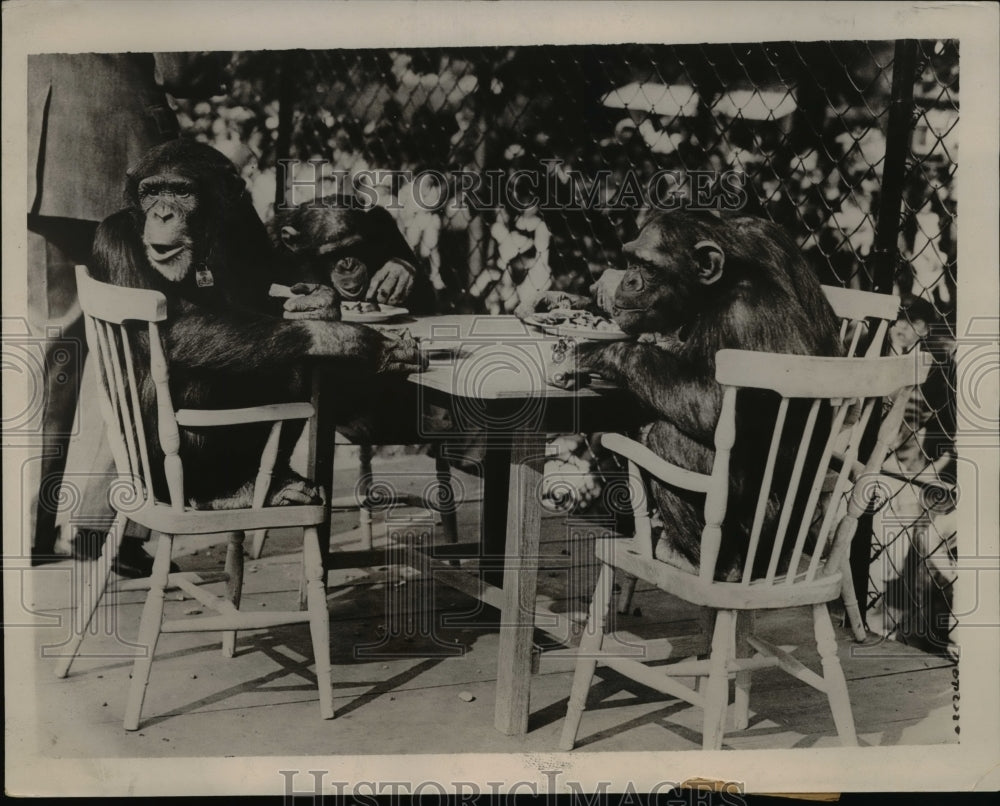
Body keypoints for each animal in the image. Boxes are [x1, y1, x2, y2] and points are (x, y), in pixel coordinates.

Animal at [89, 138, 426, 504]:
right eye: (151, 192)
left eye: (181, 192)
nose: (162, 213)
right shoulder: (114, 240)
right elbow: (164, 331)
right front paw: (351, 340)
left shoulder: (243, 220)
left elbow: (262, 297)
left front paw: (318, 305)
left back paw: (267, 484)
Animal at [548, 211, 844, 584]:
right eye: (631, 260)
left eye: (649, 267)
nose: (628, 280)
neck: (719, 288)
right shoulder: (765, 236)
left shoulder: (746, 314)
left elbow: (711, 406)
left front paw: (593, 352)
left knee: (666, 438)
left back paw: (702, 562)